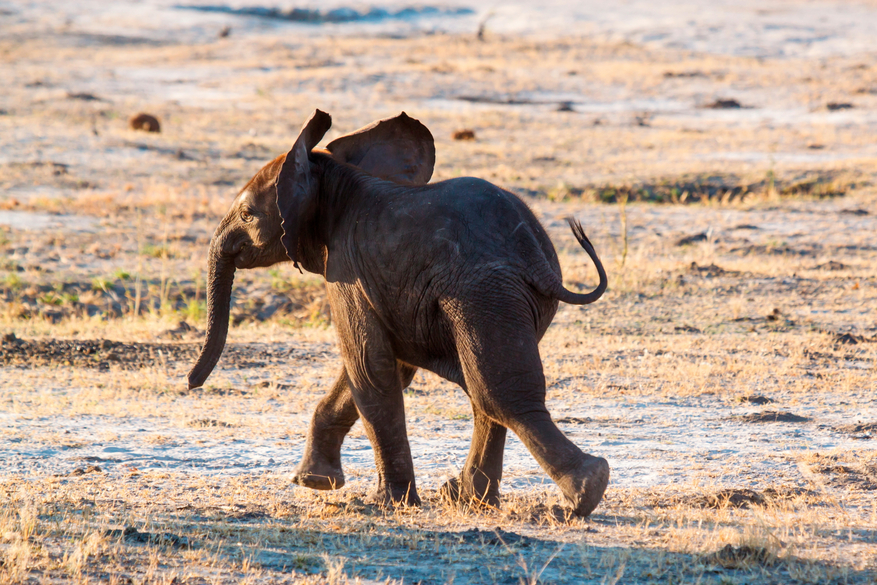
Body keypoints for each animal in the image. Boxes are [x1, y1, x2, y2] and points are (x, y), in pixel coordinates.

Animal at [186, 109, 608, 516]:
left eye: (247, 214)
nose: (191, 384)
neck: (333, 179)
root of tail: (533, 250)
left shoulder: (347, 269)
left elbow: (368, 368)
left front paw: (390, 502)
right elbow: (377, 369)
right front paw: (316, 483)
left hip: (484, 292)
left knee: (497, 393)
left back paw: (585, 491)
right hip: (512, 297)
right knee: (483, 391)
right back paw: (471, 499)